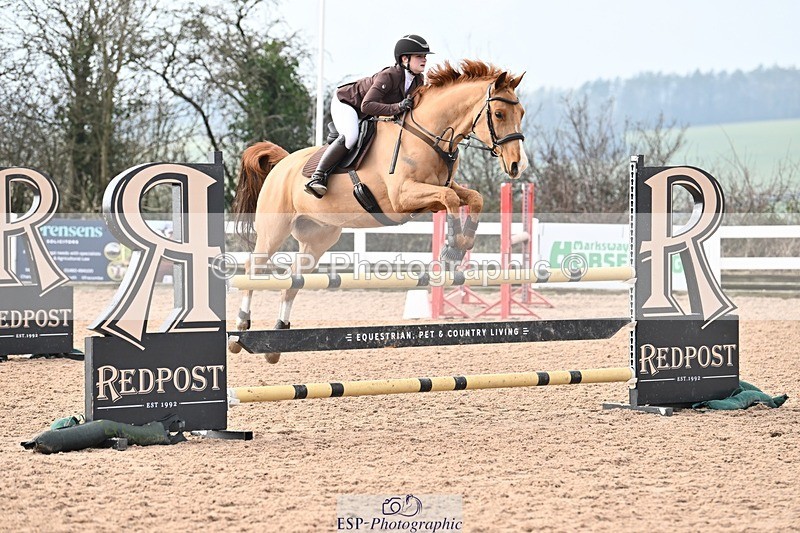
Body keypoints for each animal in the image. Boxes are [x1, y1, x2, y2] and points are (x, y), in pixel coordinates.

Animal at [230, 59, 528, 362]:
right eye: (499, 114)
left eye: (521, 113)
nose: (518, 165)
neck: (427, 136)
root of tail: (283, 162)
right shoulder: (402, 198)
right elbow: (450, 199)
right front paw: (453, 247)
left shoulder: (434, 193)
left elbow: (470, 198)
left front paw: (459, 245)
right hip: (274, 231)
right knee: (252, 268)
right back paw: (241, 326)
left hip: (318, 238)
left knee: (295, 279)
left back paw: (277, 340)